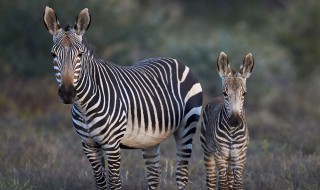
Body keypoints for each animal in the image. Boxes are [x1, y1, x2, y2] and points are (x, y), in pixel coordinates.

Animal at [43, 6, 202, 189]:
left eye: (80, 55)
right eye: (53, 55)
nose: (68, 93)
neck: (84, 106)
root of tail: (176, 61)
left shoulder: (112, 145)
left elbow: (114, 182)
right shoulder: (88, 145)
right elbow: (100, 182)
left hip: (187, 127)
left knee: (181, 174)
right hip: (151, 139)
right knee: (154, 175)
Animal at [200, 52, 255, 190]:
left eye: (244, 94)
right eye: (225, 93)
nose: (235, 121)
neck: (232, 132)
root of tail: (215, 98)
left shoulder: (240, 155)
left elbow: (237, 184)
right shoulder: (220, 154)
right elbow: (223, 184)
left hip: (231, 158)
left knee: (230, 179)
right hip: (208, 151)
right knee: (212, 179)